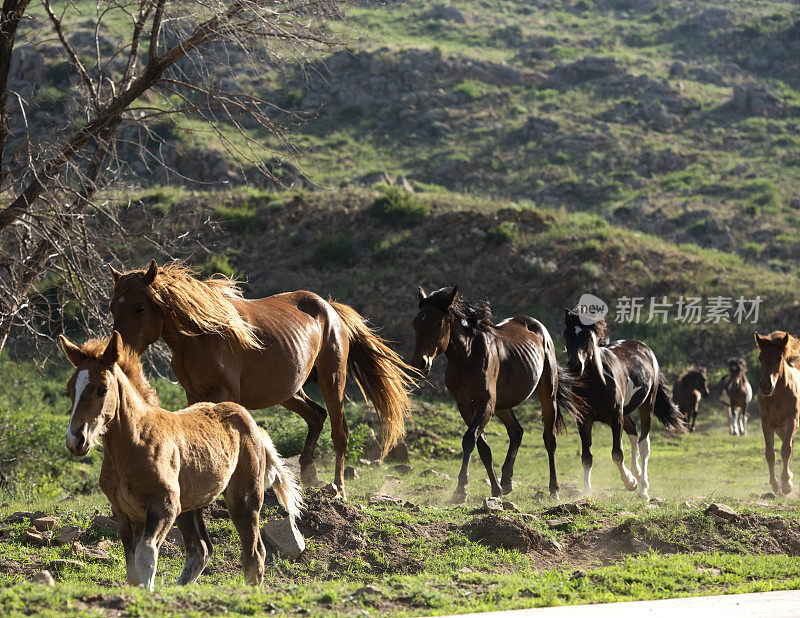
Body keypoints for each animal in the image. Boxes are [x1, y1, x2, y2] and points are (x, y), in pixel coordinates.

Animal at [60, 330, 304, 588]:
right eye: (69, 389)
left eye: (103, 388)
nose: (75, 439)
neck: (133, 444)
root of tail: (253, 424)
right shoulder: (124, 513)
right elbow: (132, 568)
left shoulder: (165, 505)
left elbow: (146, 555)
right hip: (189, 507)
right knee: (201, 549)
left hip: (243, 499)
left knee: (254, 553)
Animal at [108, 258, 416, 496]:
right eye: (113, 308)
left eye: (139, 307)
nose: (118, 353)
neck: (200, 336)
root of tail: (330, 308)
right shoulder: (193, 394)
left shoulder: (223, 394)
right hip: (289, 392)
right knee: (316, 416)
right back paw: (308, 477)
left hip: (333, 381)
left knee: (339, 432)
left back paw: (338, 488)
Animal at [410, 286, 584, 502]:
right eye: (416, 322)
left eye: (439, 322)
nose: (420, 363)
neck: (467, 357)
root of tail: (536, 325)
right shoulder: (465, 406)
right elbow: (482, 446)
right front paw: (496, 488)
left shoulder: (486, 404)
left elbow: (469, 439)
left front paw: (461, 489)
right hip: (502, 405)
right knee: (517, 431)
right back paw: (507, 481)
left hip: (546, 394)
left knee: (549, 439)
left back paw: (554, 489)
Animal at [560, 310, 684, 498]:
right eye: (566, 334)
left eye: (588, 335)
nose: (575, 366)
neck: (597, 385)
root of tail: (644, 348)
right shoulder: (583, 421)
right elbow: (587, 457)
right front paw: (587, 491)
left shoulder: (615, 418)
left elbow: (617, 454)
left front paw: (630, 482)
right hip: (625, 412)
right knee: (633, 432)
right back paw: (637, 472)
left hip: (646, 405)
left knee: (644, 444)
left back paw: (642, 489)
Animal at [752, 330, 800, 494]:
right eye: (760, 357)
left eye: (779, 357)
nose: (766, 385)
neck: (778, 394)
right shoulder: (767, 422)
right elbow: (770, 453)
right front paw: (775, 484)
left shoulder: (792, 420)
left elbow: (785, 450)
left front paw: (786, 485)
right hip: (779, 429)